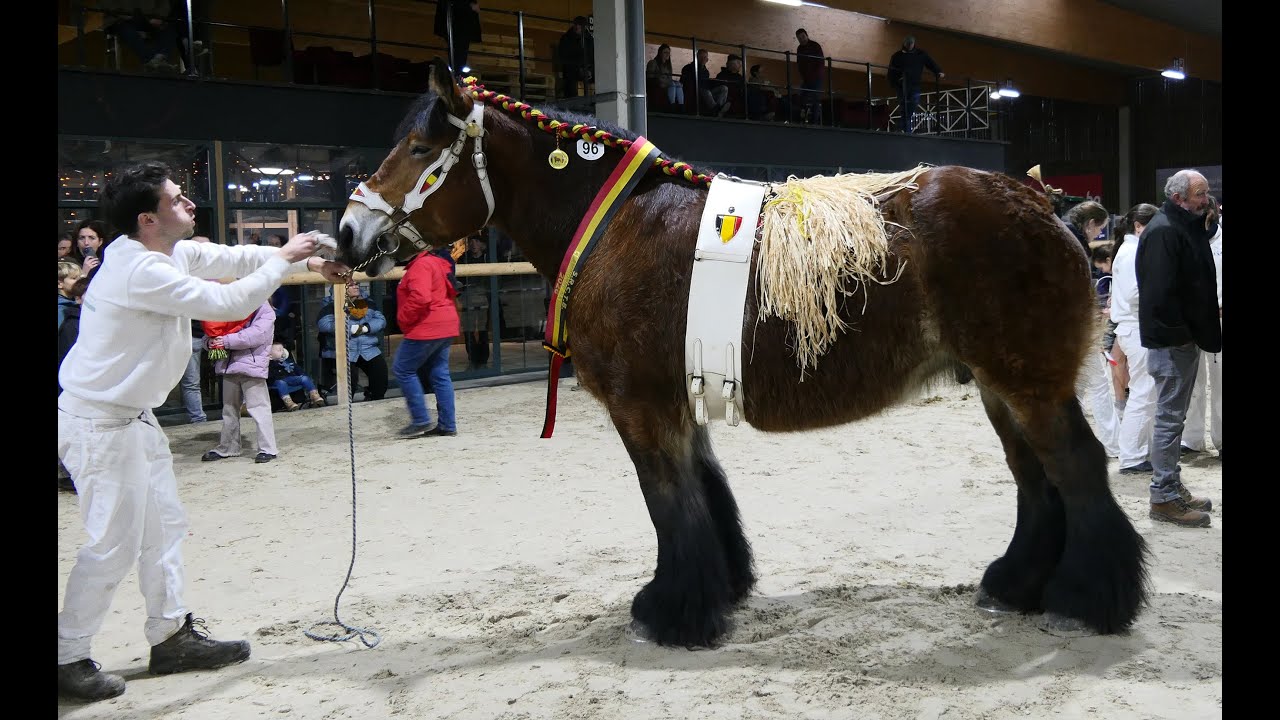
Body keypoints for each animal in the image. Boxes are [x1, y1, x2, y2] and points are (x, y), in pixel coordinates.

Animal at [336, 60, 1149, 648]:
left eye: (419, 150)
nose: (345, 233)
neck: (616, 227)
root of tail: (1040, 202)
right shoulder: (677, 402)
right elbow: (705, 494)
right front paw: (717, 589)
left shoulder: (642, 408)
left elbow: (668, 503)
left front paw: (674, 612)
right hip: (997, 385)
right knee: (1035, 478)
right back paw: (1017, 583)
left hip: (1026, 383)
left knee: (1075, 467)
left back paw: (1090, 598)